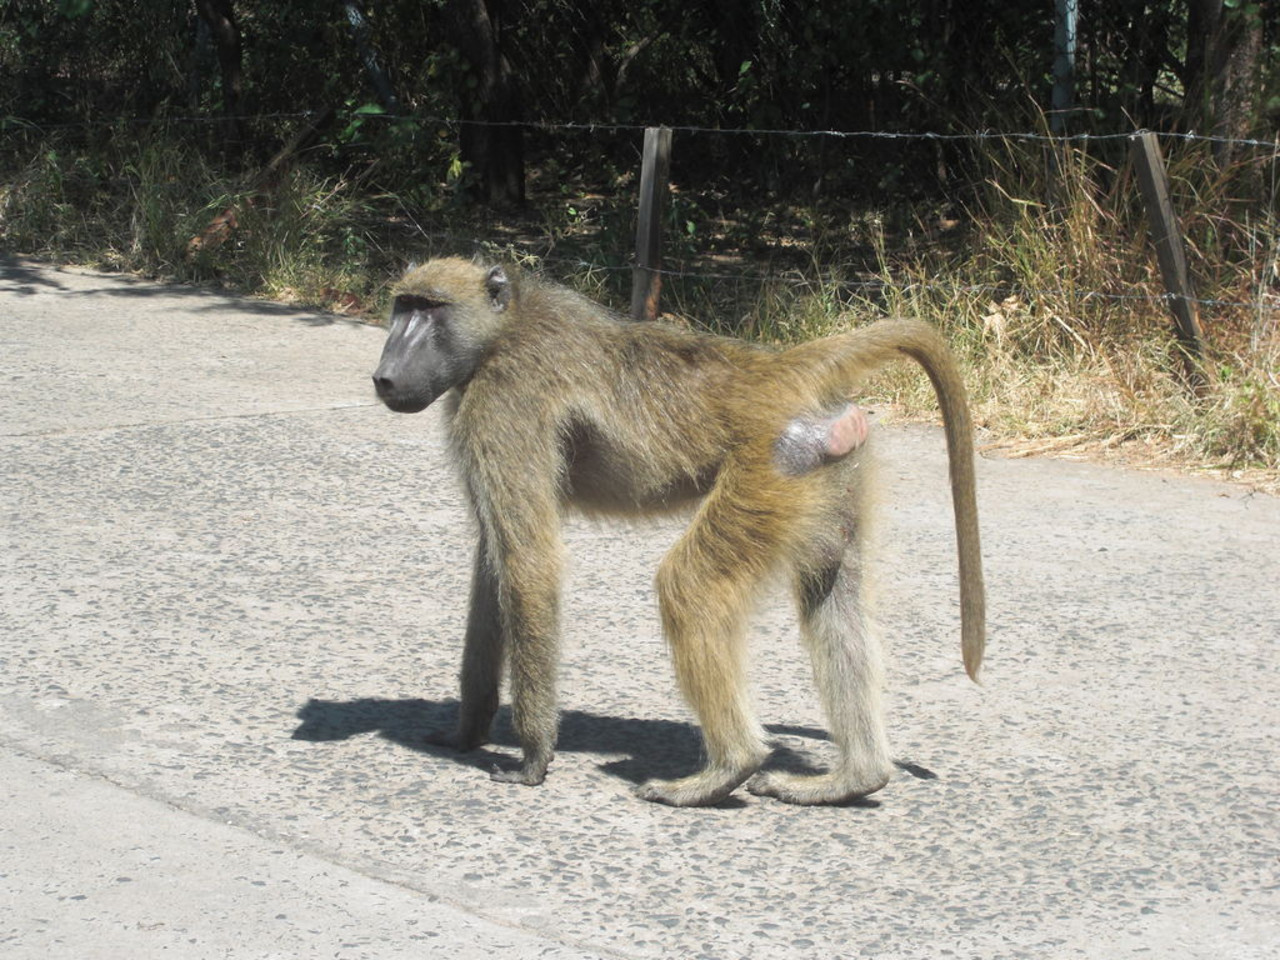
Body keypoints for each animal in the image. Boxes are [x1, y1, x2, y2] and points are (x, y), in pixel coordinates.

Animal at [371, 257, 984, 807]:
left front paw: (533, 758)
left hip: (770, 468)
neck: (505, 330)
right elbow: (493, 564)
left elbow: (528, 563)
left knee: (689, 586)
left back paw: (726, 770)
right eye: (402, 305)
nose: (383, 376)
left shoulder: (502, 401)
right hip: (823, 464)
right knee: (830, 594)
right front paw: (466, 732)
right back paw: (854, 778)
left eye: (429, 308)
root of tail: (780, 368)